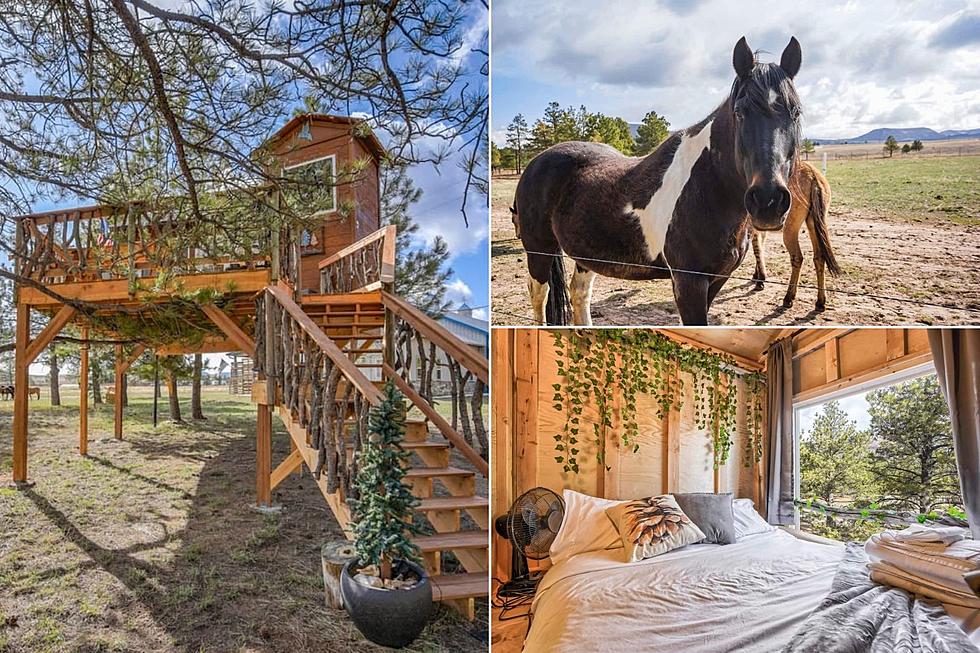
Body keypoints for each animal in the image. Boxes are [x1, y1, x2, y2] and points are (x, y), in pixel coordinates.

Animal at [512, 35, 804, 326]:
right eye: (740, 112)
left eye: (796, 113)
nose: (768, 201)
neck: (707, 189)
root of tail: (537, 162)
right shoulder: (688, 282)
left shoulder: (717, 279)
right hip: (539, 249)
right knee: (539, 294)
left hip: (585, 251)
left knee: (579, 293)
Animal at [756, 159, 840, 310]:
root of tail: (812, 175)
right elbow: (759, 246)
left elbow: (757, 248)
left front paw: (759, 279)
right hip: (813, 223)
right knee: (819, 258)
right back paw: (820, 301)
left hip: (790, 228)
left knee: (797, 258)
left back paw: (788, 297)